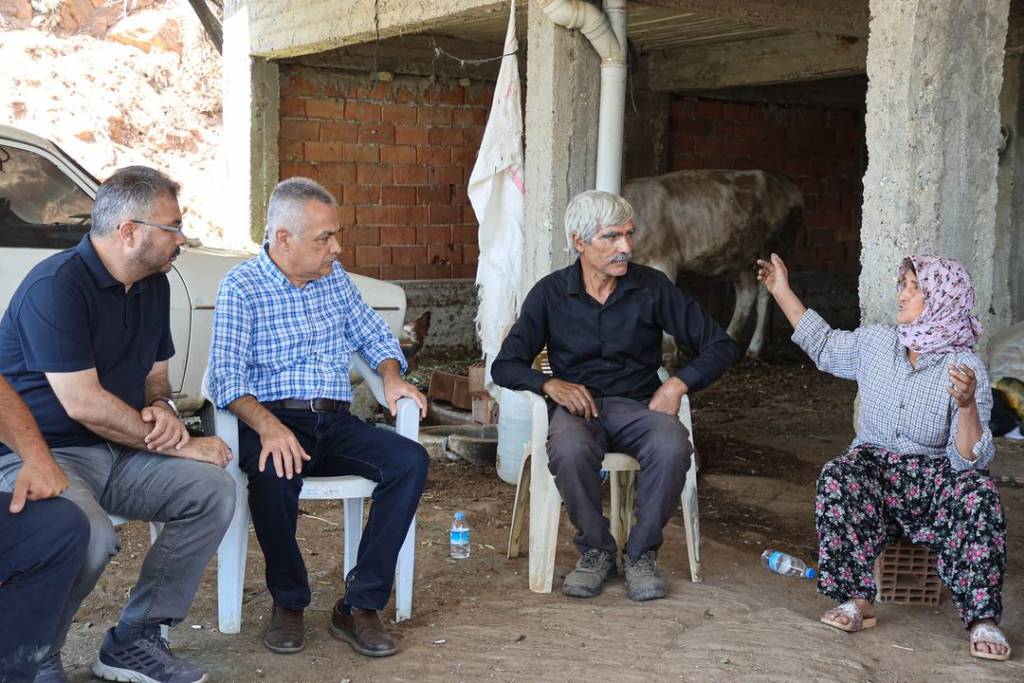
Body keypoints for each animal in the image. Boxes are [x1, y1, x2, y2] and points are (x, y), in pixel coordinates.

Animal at [618, 169, 802, 358]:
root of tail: (785, 182)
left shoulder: (664, 260)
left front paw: (669, 353)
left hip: (773, 246)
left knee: (765, 293)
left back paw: (754, 349)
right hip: (738, 256)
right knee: (747, 293)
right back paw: (731, 337)